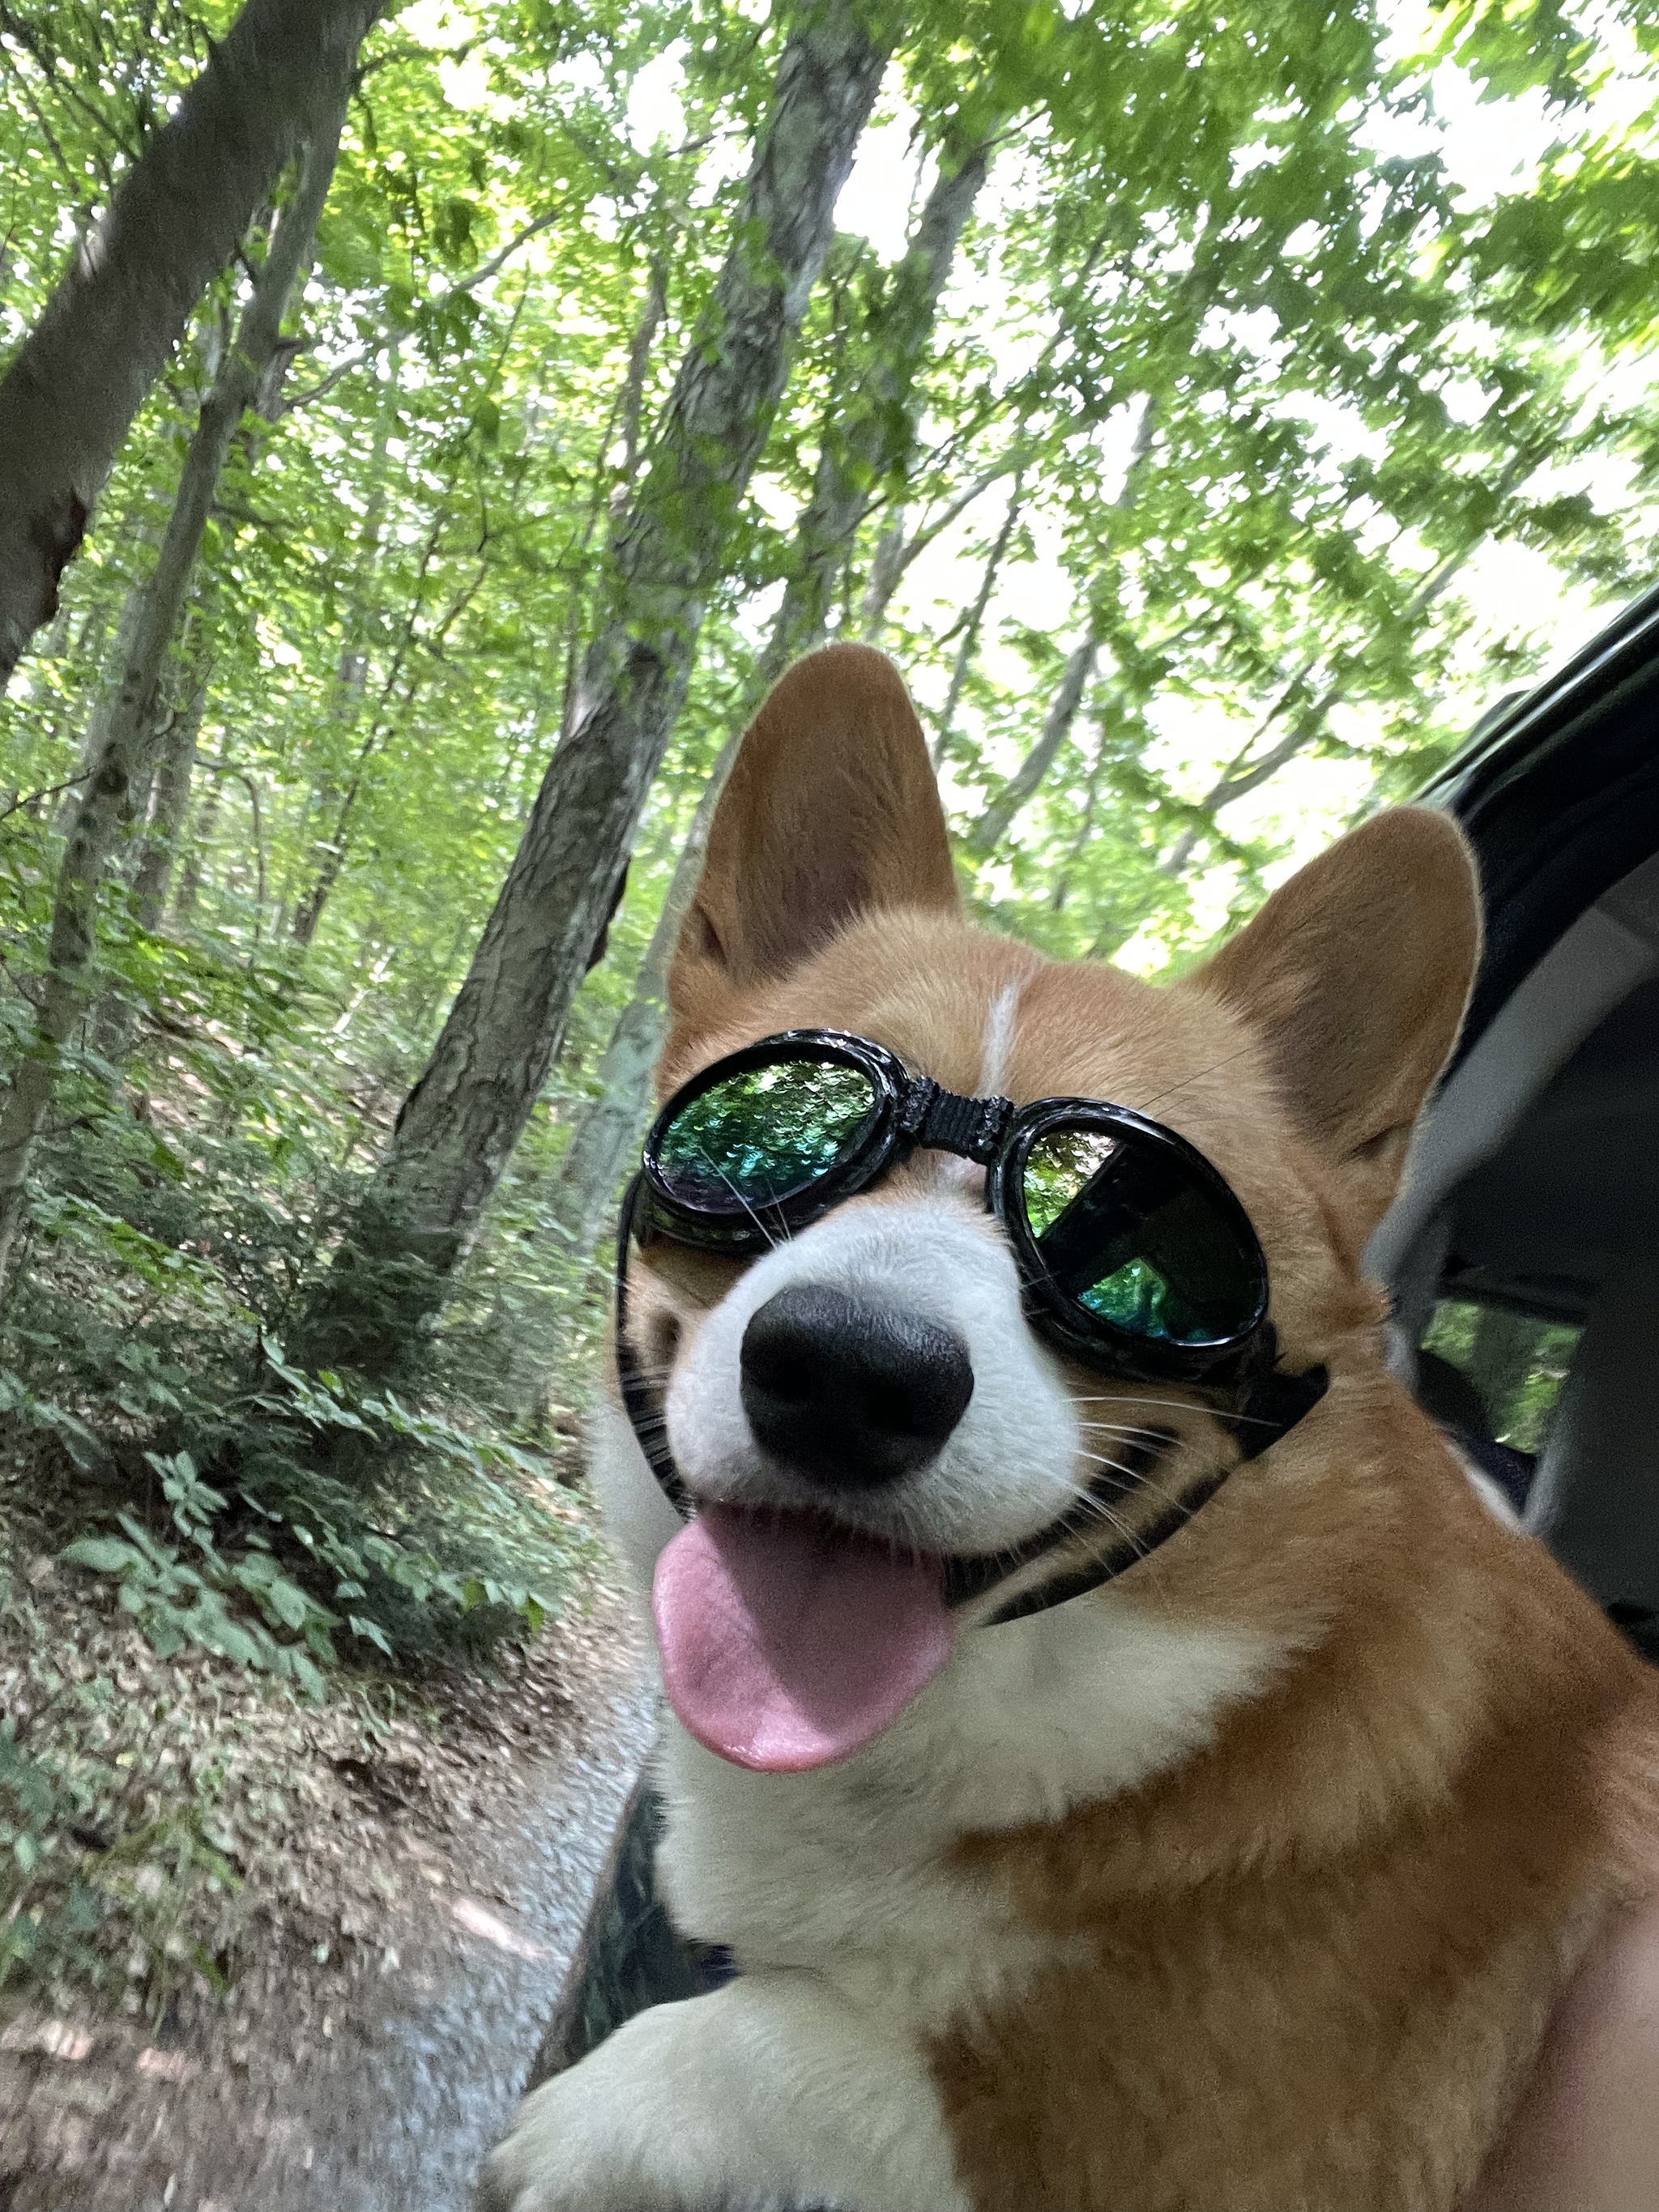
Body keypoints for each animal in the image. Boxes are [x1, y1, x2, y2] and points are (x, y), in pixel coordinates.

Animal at [480, 646, 1659, 2212]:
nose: (849, 1374)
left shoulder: (1175, 2142)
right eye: (770, 1129)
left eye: (1148, 1229)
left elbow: (822, 2047)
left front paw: (594, 2118)